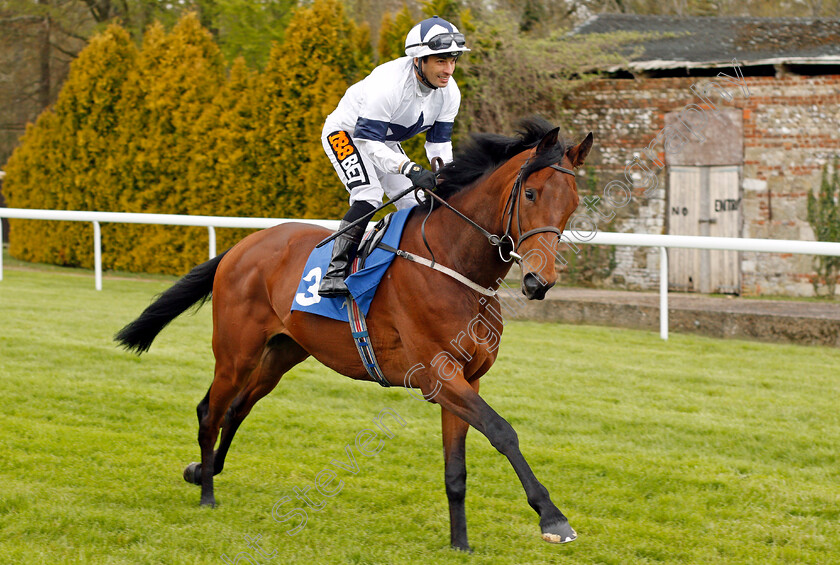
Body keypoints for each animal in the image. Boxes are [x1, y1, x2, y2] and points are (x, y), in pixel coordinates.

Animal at [116, 117, 592, 548]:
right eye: (530, 193)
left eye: (572, 204)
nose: (538, 281)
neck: (454, 264)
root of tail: (242, 246)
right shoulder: (437, 377)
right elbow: (503, 431)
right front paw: (552, 518)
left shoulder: (466, 379)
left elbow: (456, 470)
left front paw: (460, 543)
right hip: (236, 352)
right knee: (209, 412)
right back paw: (207, 494)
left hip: (280, 354)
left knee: (236, 409)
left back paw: (204, 471)